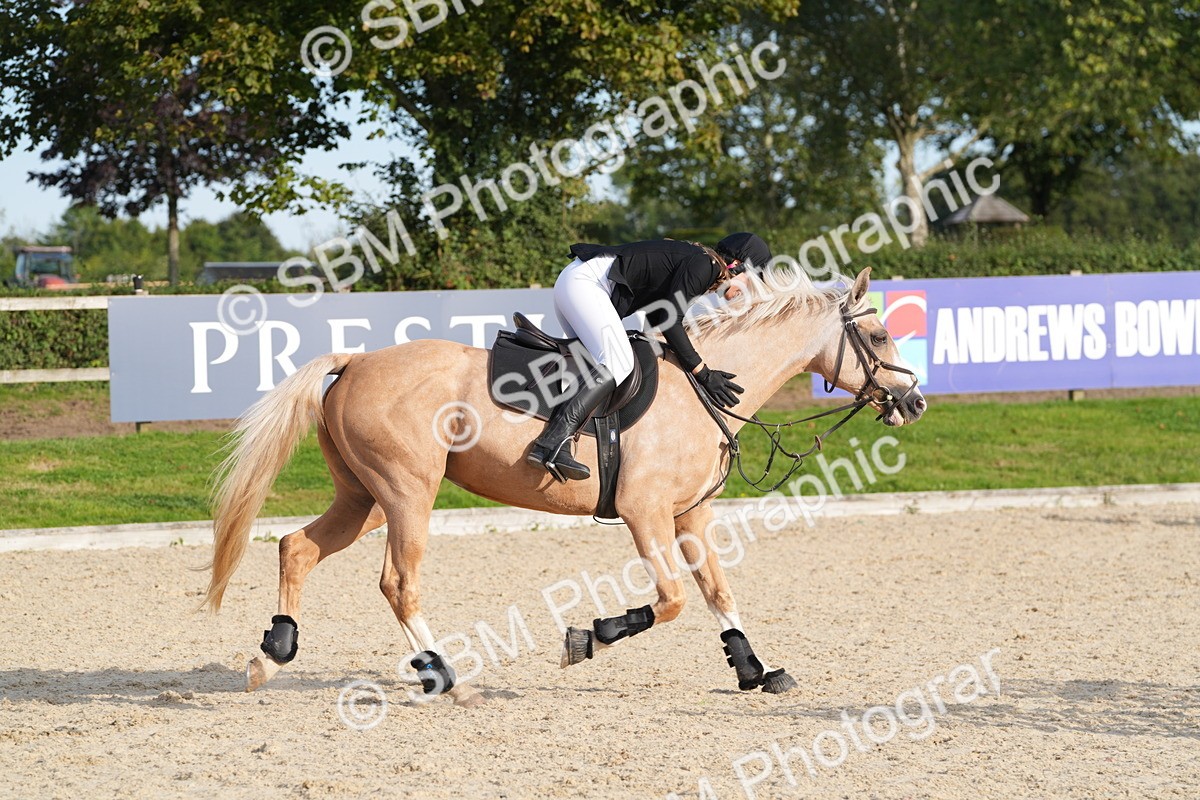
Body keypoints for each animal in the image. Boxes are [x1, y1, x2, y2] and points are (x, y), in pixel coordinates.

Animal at [204, 266, 927, 707]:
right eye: (878, 332)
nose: (914, 402)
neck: (701, 393)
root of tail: (355, 361)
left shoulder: (690, 517)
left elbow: (718, 593)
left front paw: (755, 669)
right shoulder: (644, 513)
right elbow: (670, 602)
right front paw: (587, 639)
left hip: (366, 498)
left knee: (297, 547)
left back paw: (272, 655)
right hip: (408, 493)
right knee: (397, 583)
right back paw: (447, 677)